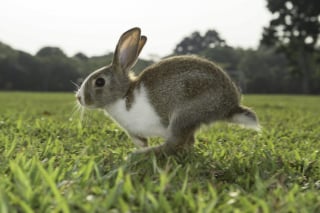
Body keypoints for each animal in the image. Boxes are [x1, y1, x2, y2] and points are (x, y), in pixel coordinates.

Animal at [76, 27, 262, 156]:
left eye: (100, 82)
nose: (79, 98)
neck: (123, 95)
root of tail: (230, 106)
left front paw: (140, 150)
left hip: (183, 115)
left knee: (174, 143)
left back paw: (140, 155)